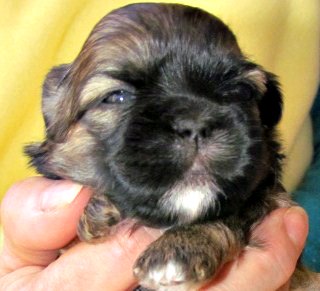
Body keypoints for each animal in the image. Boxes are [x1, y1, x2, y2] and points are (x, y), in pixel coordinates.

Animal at [25, 3, 316, 290]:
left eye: (242, 92)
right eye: (117, 97)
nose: (195, 124)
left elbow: (234, 212)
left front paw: (179, 249)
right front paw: (95, 210)